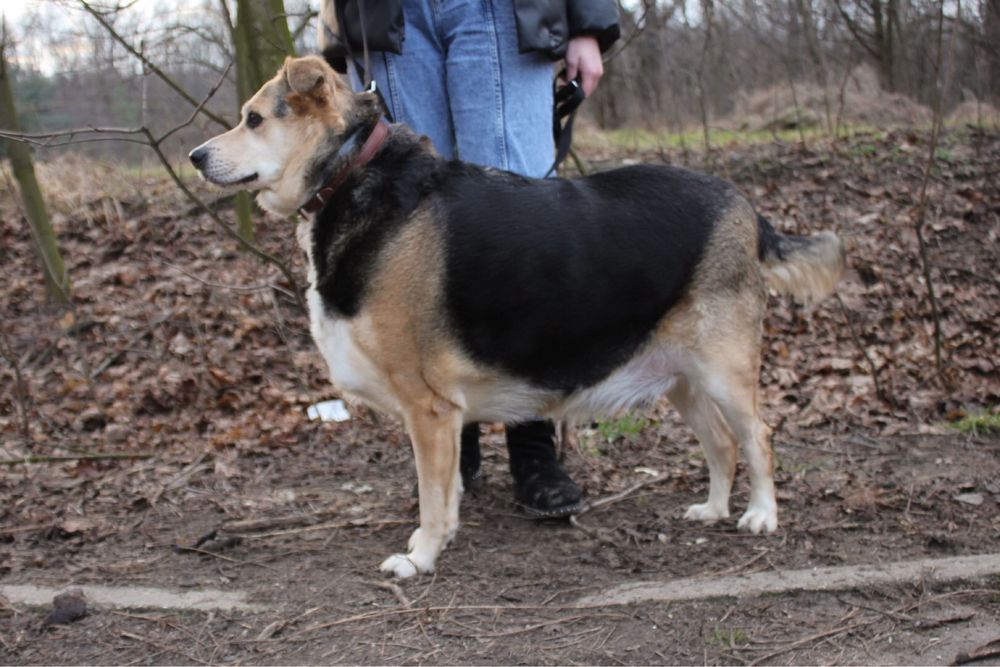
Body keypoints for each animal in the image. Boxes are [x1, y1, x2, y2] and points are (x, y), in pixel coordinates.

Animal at [188, 54, 844, 580]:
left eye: (253, 119)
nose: (194, 156)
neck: (353, 171)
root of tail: (747, 209)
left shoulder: (430, 410)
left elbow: (433, 497)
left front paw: (420, 557)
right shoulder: (442, 418)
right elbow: (445, 491)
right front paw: (433, 543)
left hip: (723, 370)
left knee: (757, 437)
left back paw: (760, 515)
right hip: (680, 377)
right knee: (721, 444)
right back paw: (712, 509)